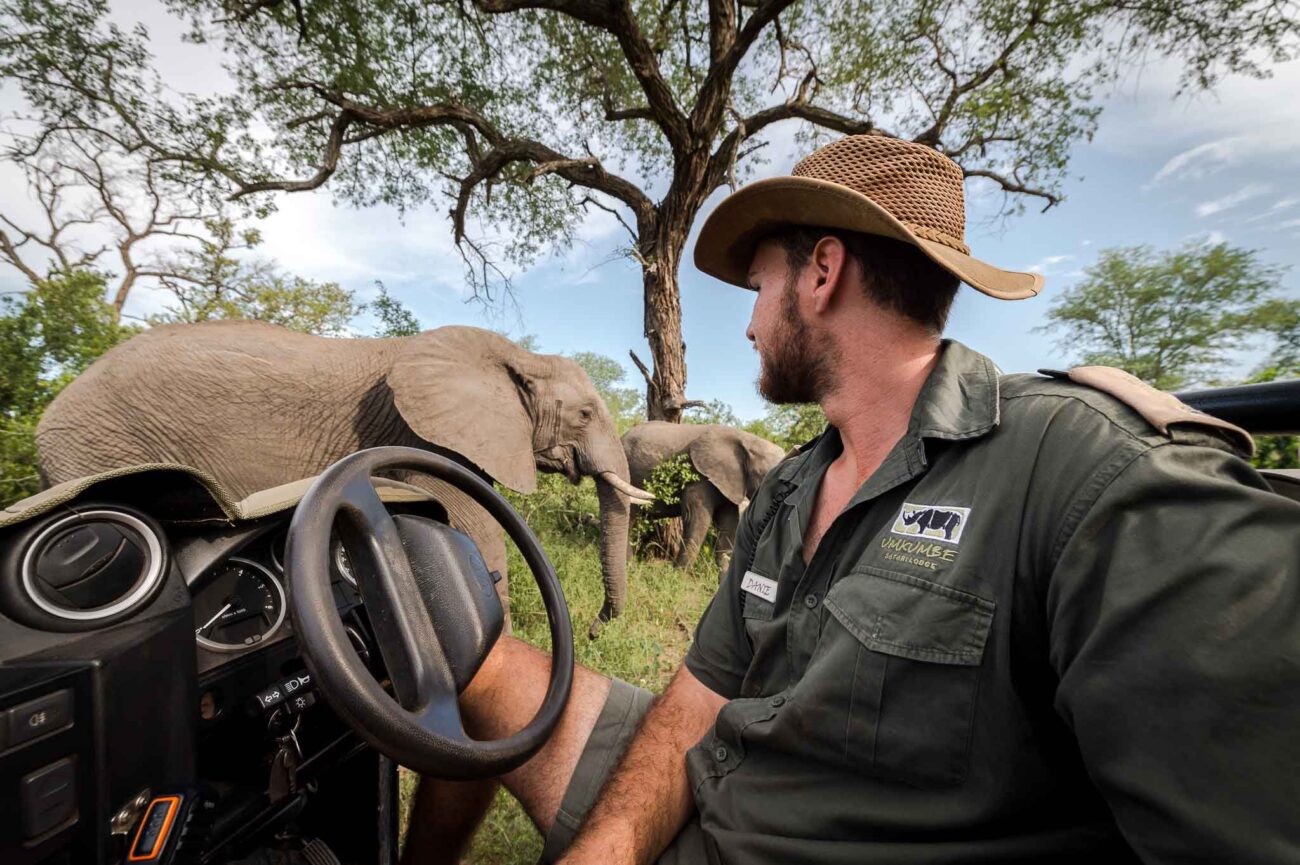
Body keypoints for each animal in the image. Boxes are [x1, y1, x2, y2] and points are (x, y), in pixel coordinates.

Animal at [36, 319, 655, 637]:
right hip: (99, 451)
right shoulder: (419, 436)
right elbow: (474, 530)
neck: (518, 356)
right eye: (584, 415)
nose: (596, 627)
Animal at [624, 421, 785, 569]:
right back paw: (630, 566)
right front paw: (678, 575)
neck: (747, 439)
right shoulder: (700, 477)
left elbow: (728, 523)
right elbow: (696, 519)